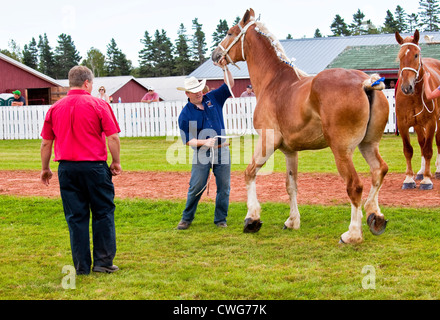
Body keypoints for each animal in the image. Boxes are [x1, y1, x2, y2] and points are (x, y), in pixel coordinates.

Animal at [213, 8, 388, 244]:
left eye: (230, 32)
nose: (215, 55)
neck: (274, 82)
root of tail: (365, 83)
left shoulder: (267, 141)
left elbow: (249, 173)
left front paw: (252, 219)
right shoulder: (290, 151)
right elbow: (291, 185)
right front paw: (292, 221)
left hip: (342, 151)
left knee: (355, 185)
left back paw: (352, 234)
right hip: (369, 144)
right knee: (379, 170)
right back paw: (375, 215)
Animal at [396, 29, 440, 190]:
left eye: (416, 55)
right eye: (400, 56)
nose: (406, 87)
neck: (413, 95)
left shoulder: (431, 123)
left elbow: (428, 150)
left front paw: (427, 180)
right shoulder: (403, 124)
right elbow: (408, 150)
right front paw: (409, 178)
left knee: (437, 142)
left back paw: (436, 171)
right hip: (417, 125)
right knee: (421, 142)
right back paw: (421, 172)